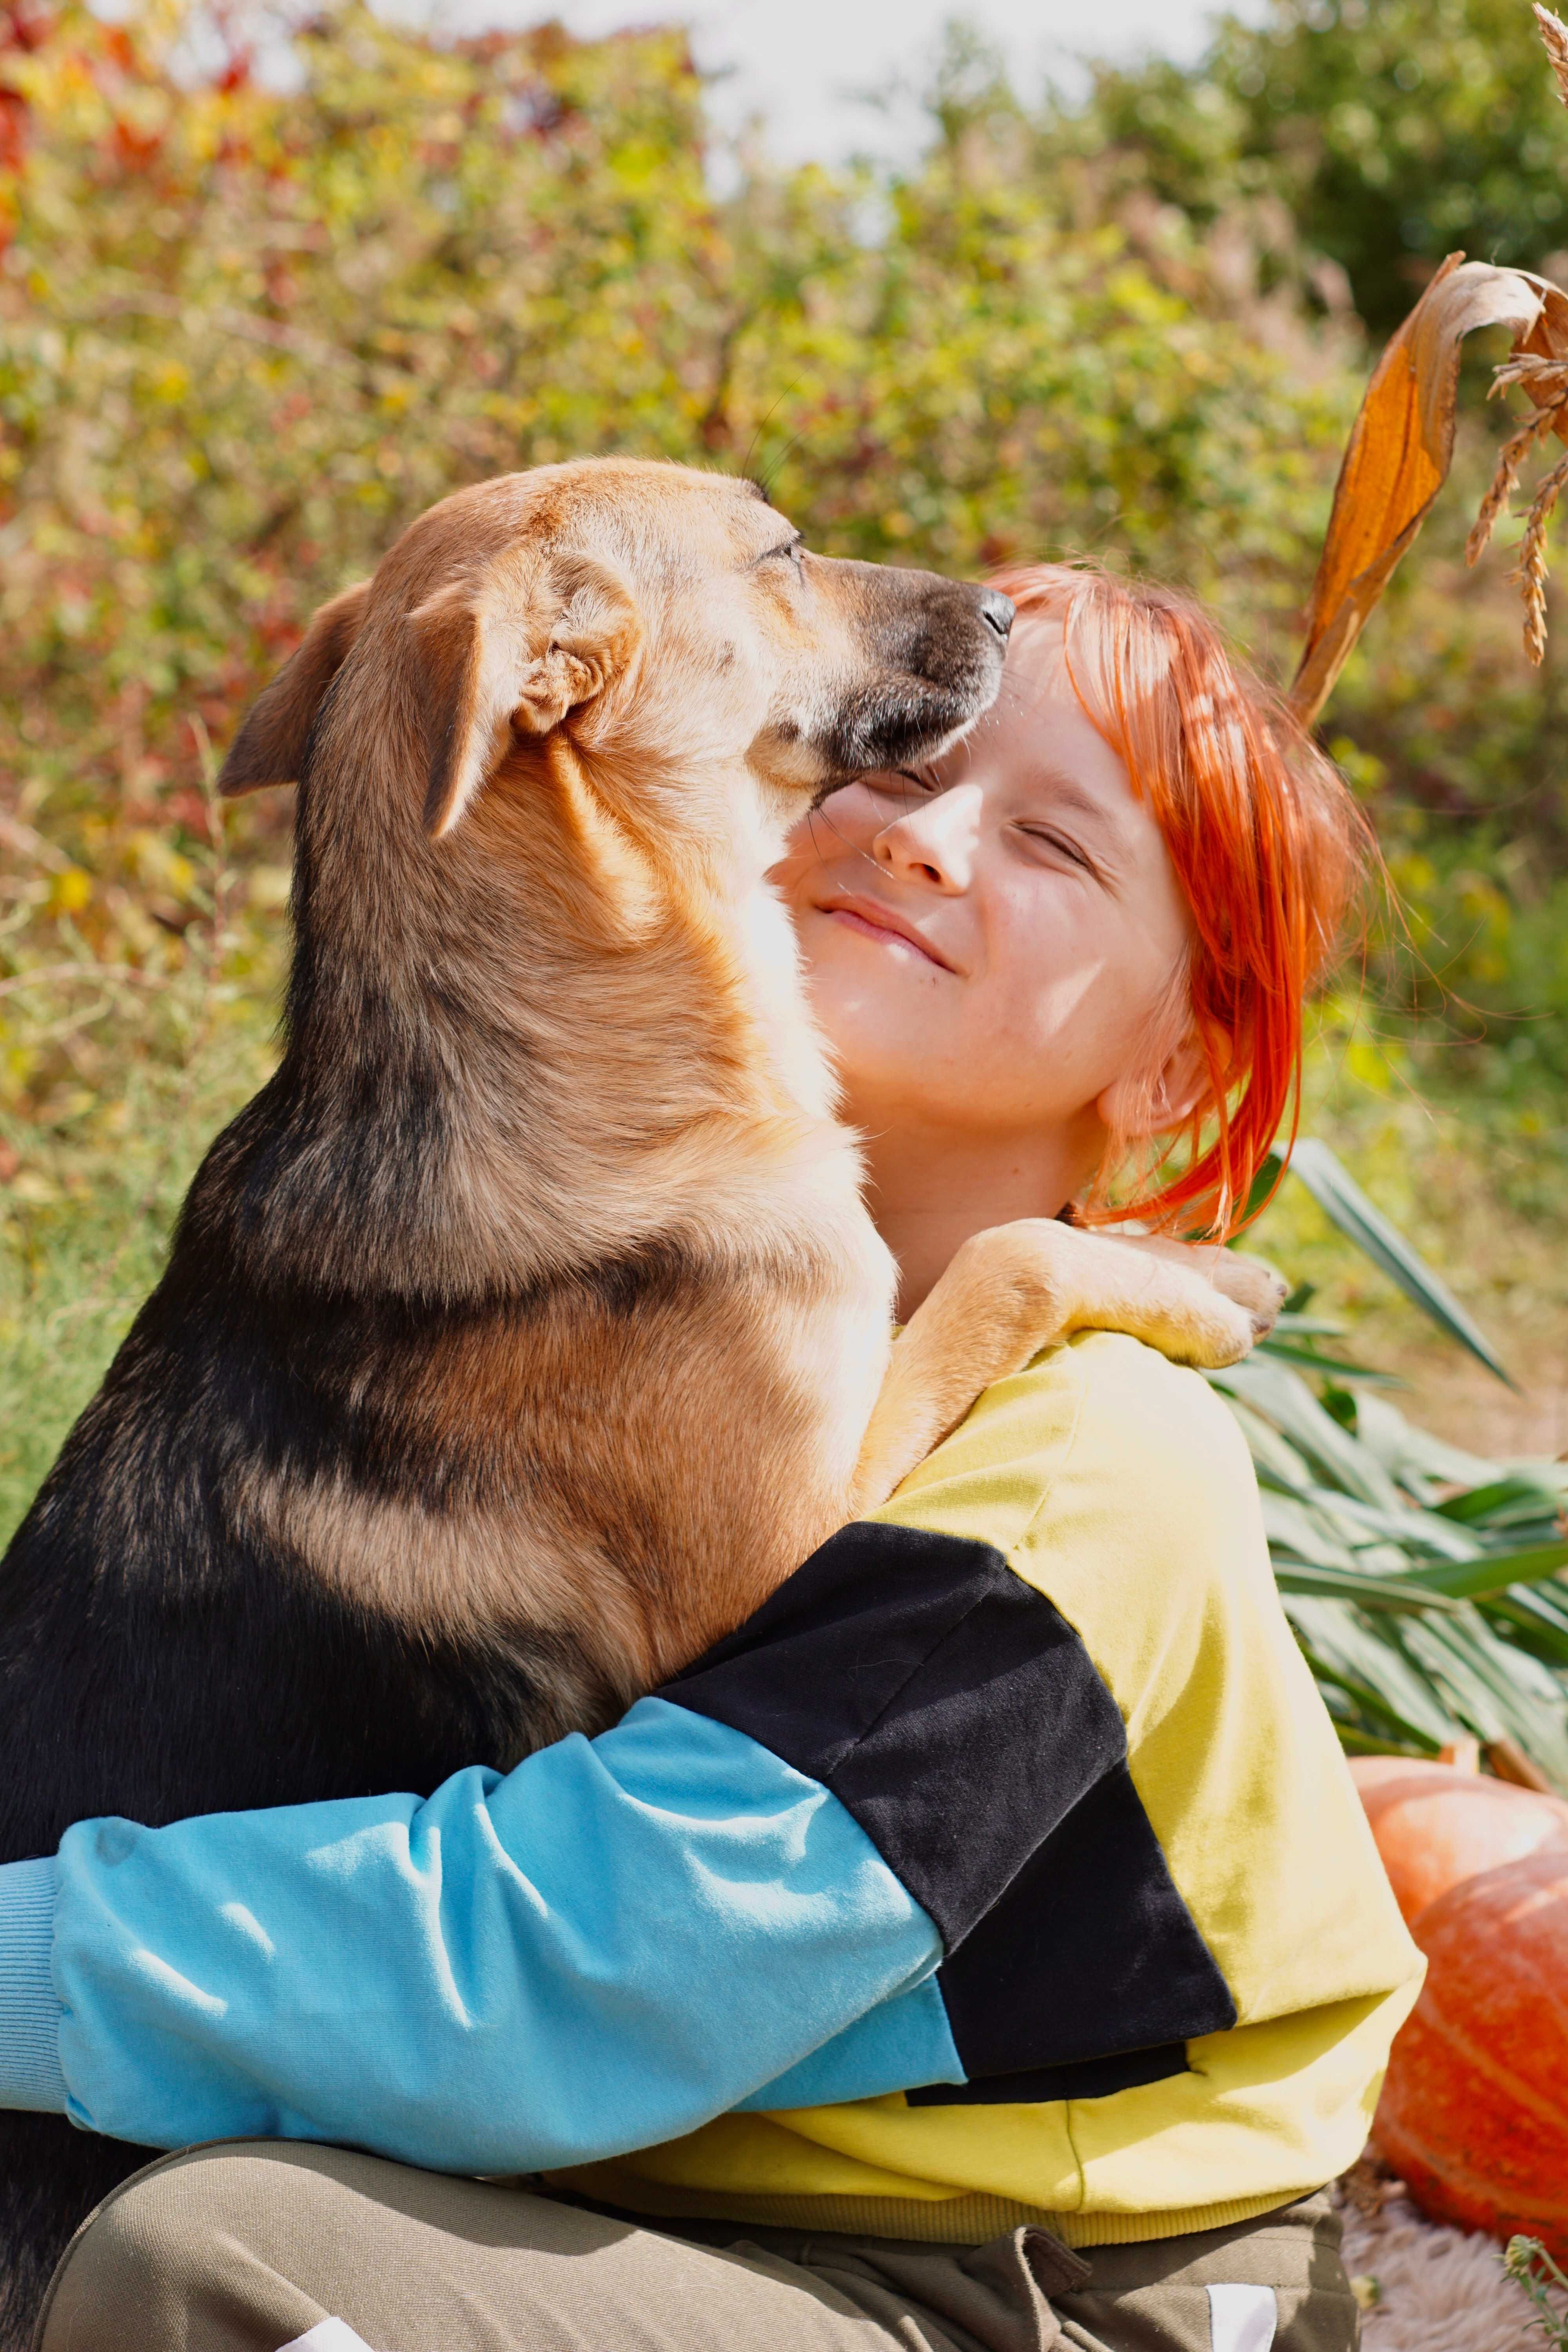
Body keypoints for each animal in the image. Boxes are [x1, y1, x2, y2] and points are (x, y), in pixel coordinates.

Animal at [0, 459, 1279, 2333]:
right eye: (779, 550)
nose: (999, 604)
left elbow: (993, 1258)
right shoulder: (779, 1556)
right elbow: (1005, 1261)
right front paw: (1197, 1284)